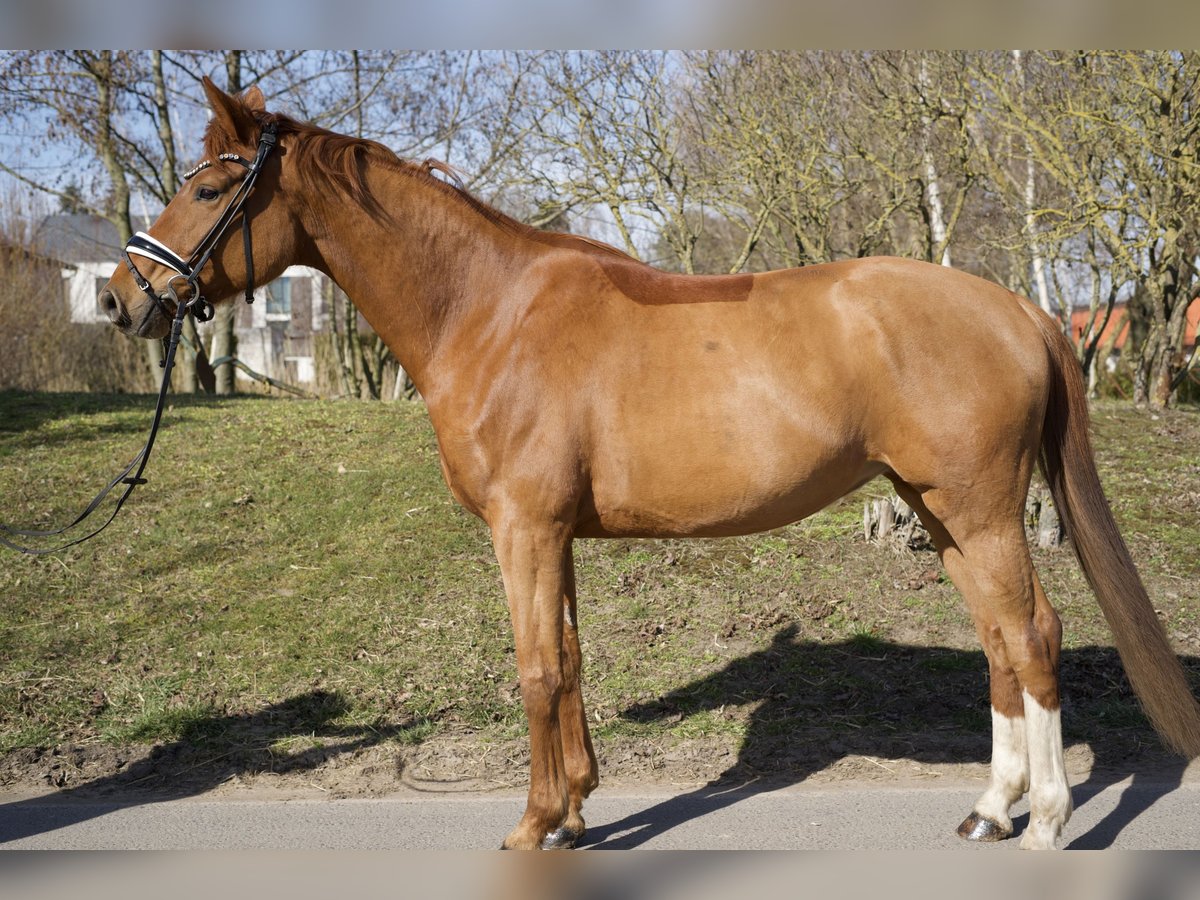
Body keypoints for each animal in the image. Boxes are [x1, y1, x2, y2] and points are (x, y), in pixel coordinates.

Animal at [96, 81, 1200, 849]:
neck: (488, 313)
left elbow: (537, 669)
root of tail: (1021, 309)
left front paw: (533, 825)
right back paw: (990, 809)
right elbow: (573, 659)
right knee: (999, 644)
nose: (118, 298)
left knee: (1035, 635)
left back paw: (1047, 820)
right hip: (939, 512)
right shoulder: (556, 535)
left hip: (977, 510)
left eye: (208, 186)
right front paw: (578, 812)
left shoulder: (524, 530)